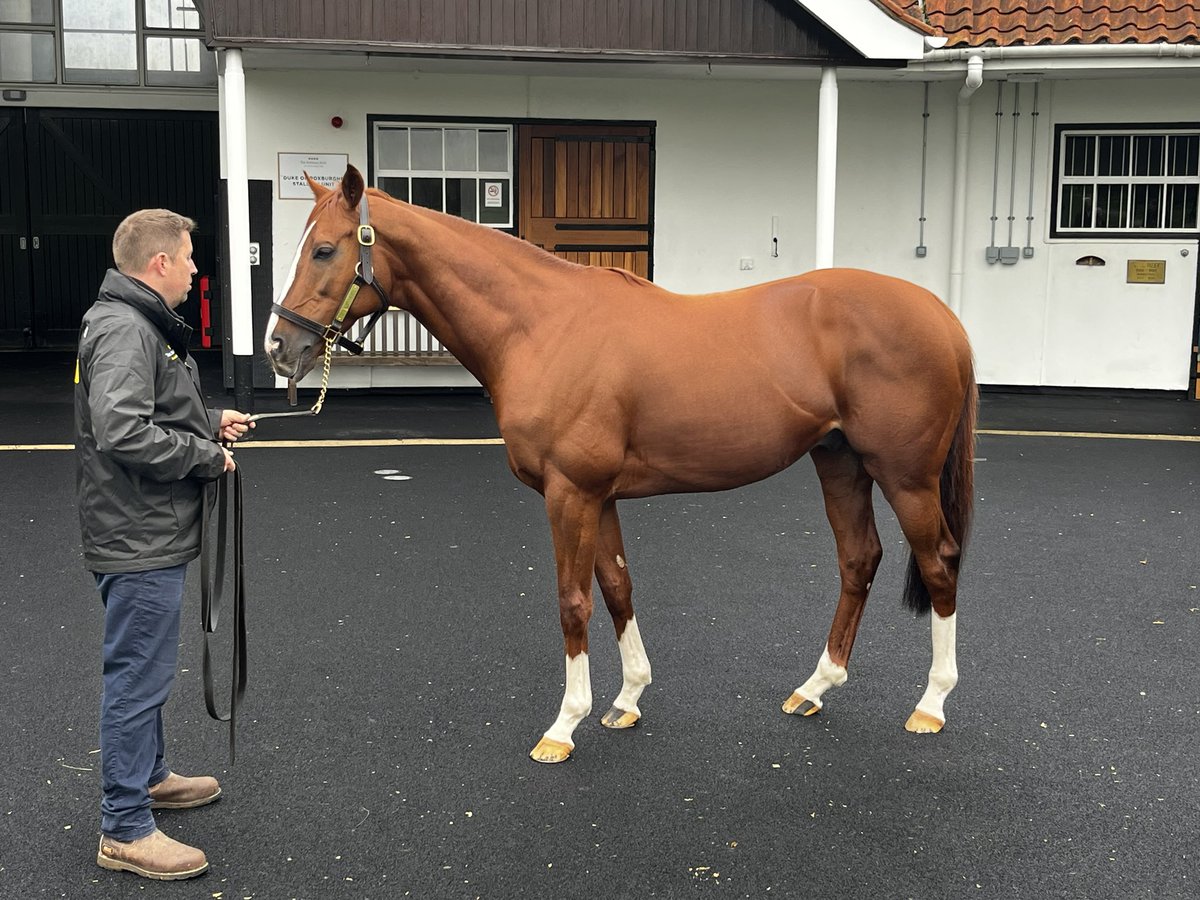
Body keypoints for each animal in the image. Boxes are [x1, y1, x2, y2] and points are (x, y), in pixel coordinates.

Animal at [264, 165, 977, 764]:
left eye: (324, 249)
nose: (279, 346)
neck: (541, 326)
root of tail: (942, 317)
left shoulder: (569, 493)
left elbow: (572, 601)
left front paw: (563, 725)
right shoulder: (598, 496)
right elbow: (616, 589)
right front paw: (627, 698)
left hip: (905, 476)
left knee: (939, 562)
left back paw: (931, 704)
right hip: (841, 464)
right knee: (859, 560)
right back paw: (815, 687)